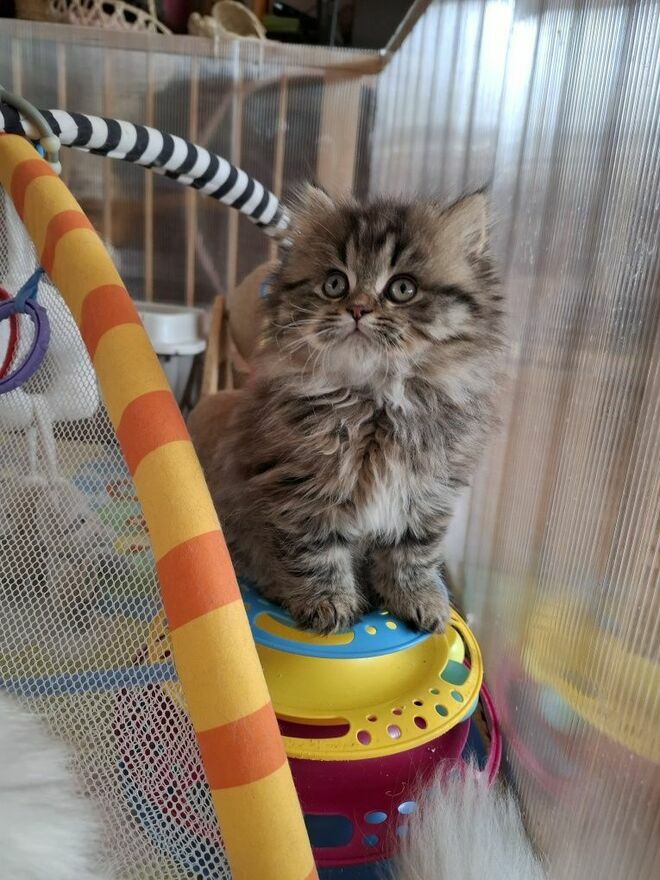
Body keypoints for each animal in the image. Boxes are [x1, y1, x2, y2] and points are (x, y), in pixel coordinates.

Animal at [198, 186, 505, 634]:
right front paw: (329, 604)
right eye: (335, 284)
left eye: (402, 289)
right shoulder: (301, 491)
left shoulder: (429, 491)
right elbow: (316, 552)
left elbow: (413, 552)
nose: (357, 309)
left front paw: (417, 600)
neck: (377, 402)